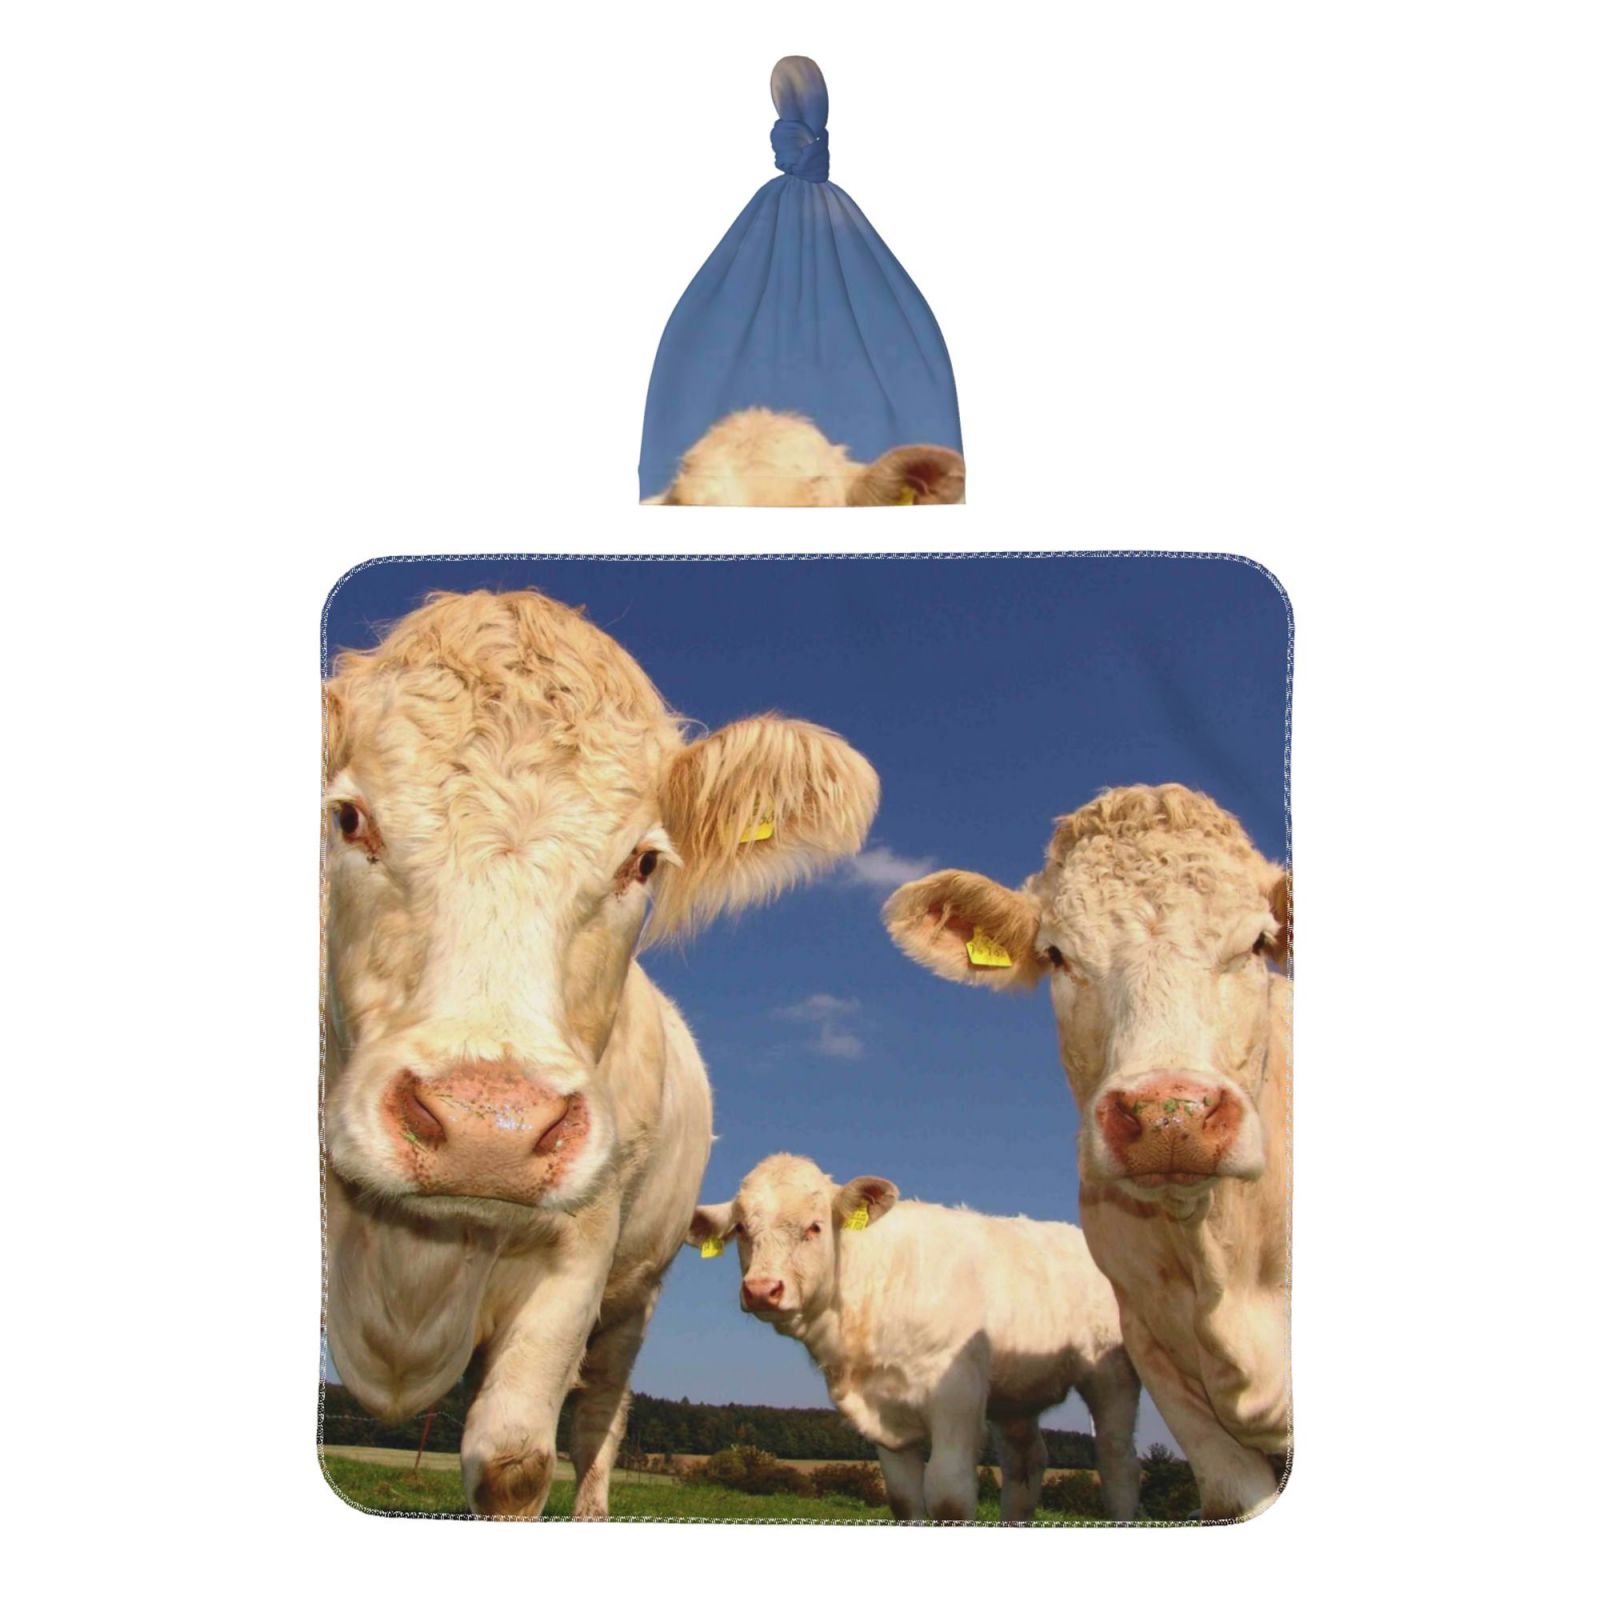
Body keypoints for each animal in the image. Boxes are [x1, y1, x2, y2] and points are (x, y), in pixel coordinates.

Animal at [322, 589, 880, 1518]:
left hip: (633, 1296)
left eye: (643, 862)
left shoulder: (579, 1256)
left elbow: (514, 1460)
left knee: (598, 1422)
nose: (489, 1131)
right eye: (347, 817)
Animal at [687, 1153, 1142, 1523]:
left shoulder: (957, 1395)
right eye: (741, 1229)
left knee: (1117, 1461)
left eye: (814, 1226)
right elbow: (905, 1502)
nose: (761, 1289)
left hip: (1112, 1373)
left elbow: (948, 1497)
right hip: (1015, 1394)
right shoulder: (883, 1417)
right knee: (1026, 1464)